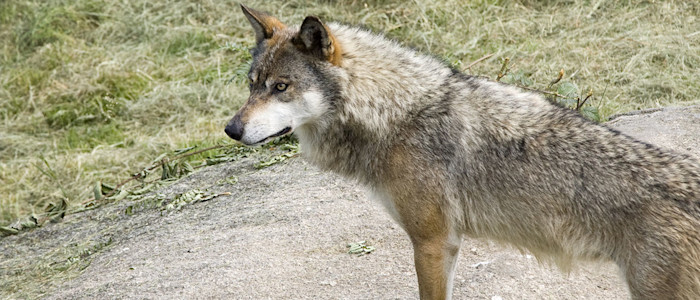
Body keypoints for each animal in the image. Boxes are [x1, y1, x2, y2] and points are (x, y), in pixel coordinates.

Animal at [224, 4, 700, 298]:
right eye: (252, 85)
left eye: (281, 87)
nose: (230, 129)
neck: (394, 113)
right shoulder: (444, 243)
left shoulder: (434, 242)